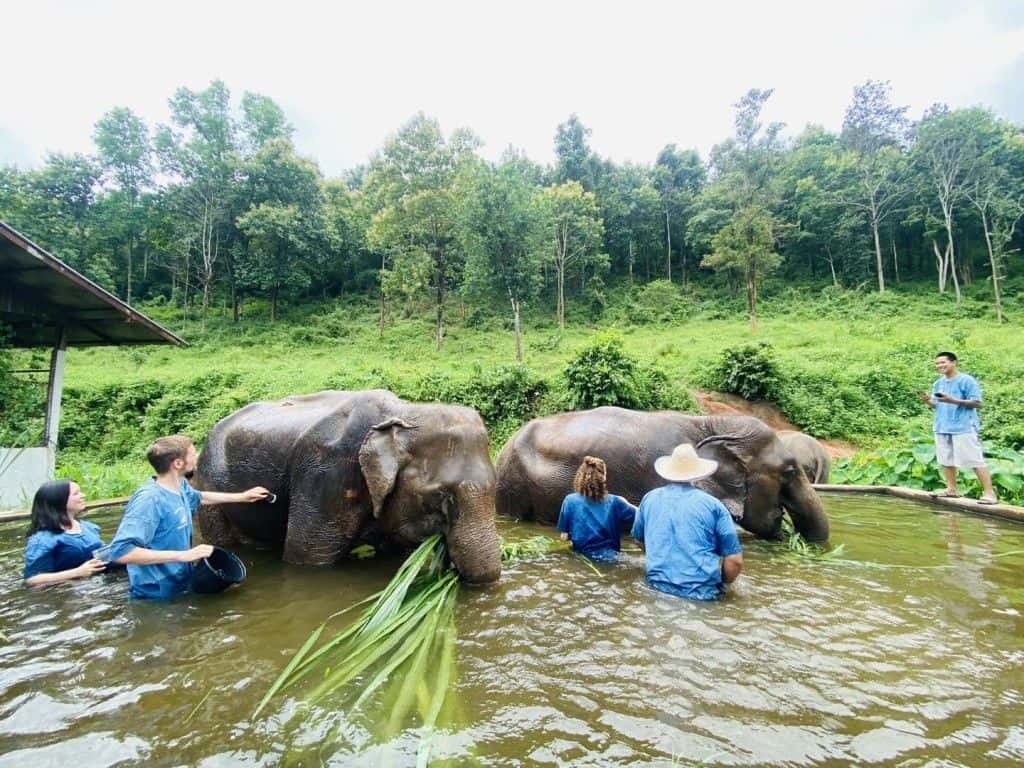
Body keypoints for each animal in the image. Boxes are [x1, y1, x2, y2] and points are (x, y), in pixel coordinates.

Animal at [192, 389, 501, 583]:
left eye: (495, 488)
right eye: (440, 495)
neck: (404, 411)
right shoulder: (324, 477)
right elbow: (306, 558)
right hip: (208, 484)